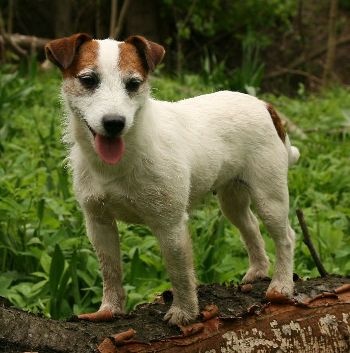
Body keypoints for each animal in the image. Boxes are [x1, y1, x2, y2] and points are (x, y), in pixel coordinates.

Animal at [45, 33, 300, 324]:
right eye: (88, 80)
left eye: (133, 84)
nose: (114, 123)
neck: (122, 159)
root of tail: (264, 105)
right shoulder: (99, 223)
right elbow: (110, 270)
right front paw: (109, 309)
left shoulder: (170, 225)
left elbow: (180, 273)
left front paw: (185, 313)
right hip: (232, 200)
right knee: (251, 227)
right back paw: (258, 271)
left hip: (270, 197)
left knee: (286, 236)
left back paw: (281, 286)